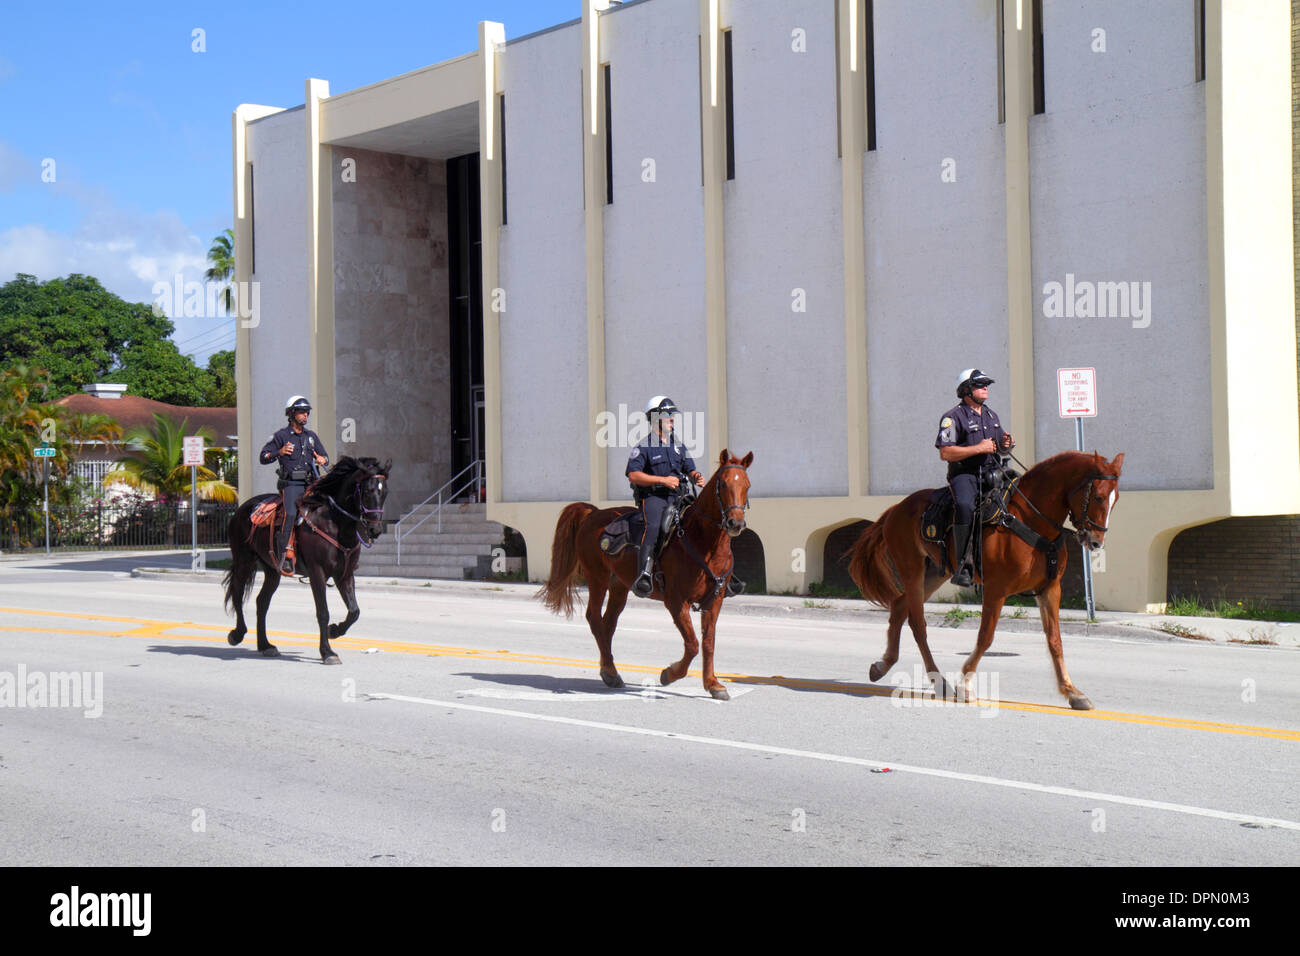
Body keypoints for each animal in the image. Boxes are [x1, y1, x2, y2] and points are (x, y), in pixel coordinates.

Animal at [223, 455, 390, 665]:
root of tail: (242, 509)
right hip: (244, 560)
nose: (375, 530)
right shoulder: (317, 573)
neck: (335, 523)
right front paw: (327, 652)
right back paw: (237, 634)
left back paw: (265, 645)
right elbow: (323, 612)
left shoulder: (344, 574)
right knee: (237, 593)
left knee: (262, 602)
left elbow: (354, 611)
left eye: (385, 492)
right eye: (368, 491)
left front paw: (334, 631)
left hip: (272, 570)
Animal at [258, 395, 330, 574]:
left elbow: (322, 453)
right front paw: (285, 450)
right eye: (299, 410)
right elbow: (264, 454)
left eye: (305, 411)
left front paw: (319, 458)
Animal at [538, 447, 759, 702]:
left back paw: (610, 671)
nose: (735, 523)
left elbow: (708, 643)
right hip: (597, 579)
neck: (702, 542)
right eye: (722, 484)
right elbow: (692, 644)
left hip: (619, 587)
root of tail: (593, 513)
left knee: (608, 624)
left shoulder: (714, 601)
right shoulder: (676, 601)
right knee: (595, 619)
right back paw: (610, 672)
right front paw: (669, 674)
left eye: (747, 485)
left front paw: (713, 684)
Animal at [847, 450, 1123, 712]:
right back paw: (939, 681)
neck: (1030, 520)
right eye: (1098, 496)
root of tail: (896, 509)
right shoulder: (996, 589)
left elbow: (1055, 641)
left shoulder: (1050, 589)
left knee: (899, 608)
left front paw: (1072, 692)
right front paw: (965, 685)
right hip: (912, 571)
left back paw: (883, 665)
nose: (1096, 541)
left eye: (1115, 498)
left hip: (935, 574)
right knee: (917, 624)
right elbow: (985, 637)